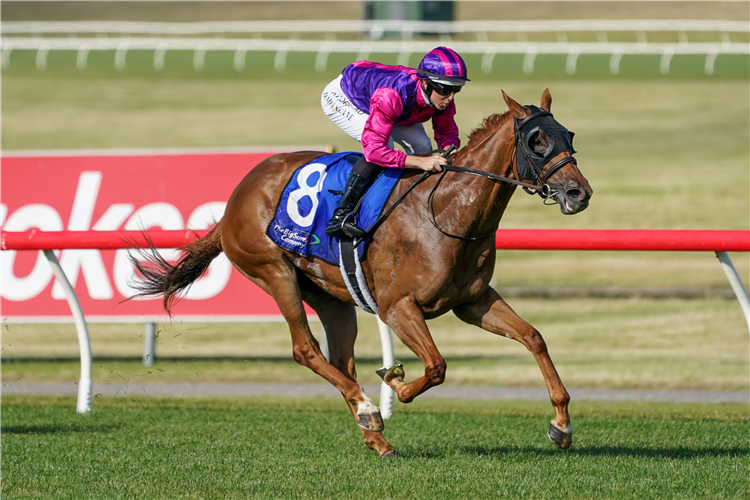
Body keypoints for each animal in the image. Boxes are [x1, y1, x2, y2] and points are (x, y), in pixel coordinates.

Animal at [131, 89, 592, 458]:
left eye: (569, 136)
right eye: (536, 140)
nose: (579, 193)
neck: (446, 212)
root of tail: (235, 197)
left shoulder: (473, 302)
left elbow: (534, 337)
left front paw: (561, 426)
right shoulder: (397, 307)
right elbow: (437, 366)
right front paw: (395, 383)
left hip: (331, 296)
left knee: (341, 362)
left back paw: (375, 435)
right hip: (273, 272)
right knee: (306, 350)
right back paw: (370, 411)